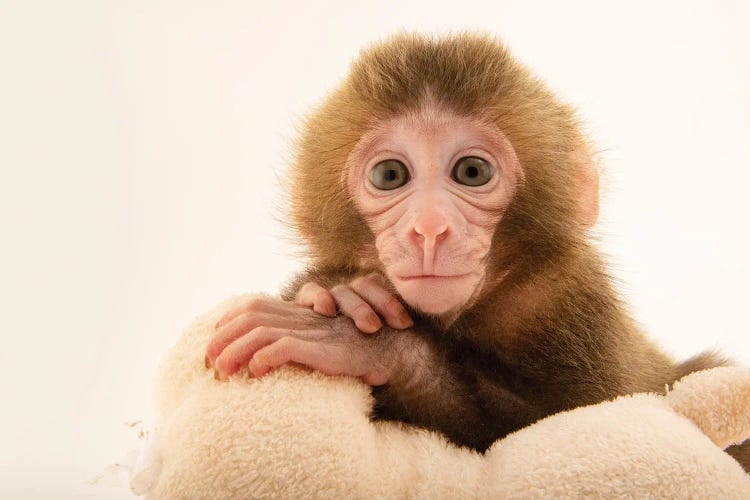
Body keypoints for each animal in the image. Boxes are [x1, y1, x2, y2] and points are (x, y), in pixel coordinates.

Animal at [206, 33, 750, 466]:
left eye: (472, 172)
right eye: (390, 175)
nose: (429, 229)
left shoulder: (566, 296)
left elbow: (569, 426)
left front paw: (363, 337)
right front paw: (341, 291)